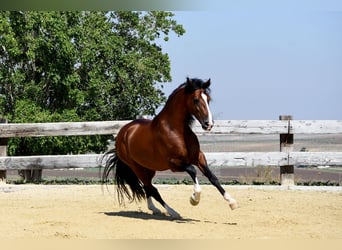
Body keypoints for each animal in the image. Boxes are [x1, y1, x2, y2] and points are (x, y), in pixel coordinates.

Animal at [102, 77, 238, 217]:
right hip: (136, 168)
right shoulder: (174, 163)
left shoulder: (198, 157)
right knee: (152, 189)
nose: (208, 124)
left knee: (147, 187)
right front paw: (194, 198)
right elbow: (193, 170)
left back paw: (154, 208)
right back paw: (172, 212)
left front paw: (232, 202)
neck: (176, 130)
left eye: (208, 99)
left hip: (149, 168)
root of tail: (123, 133)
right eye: (195, 99)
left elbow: (212, 177)